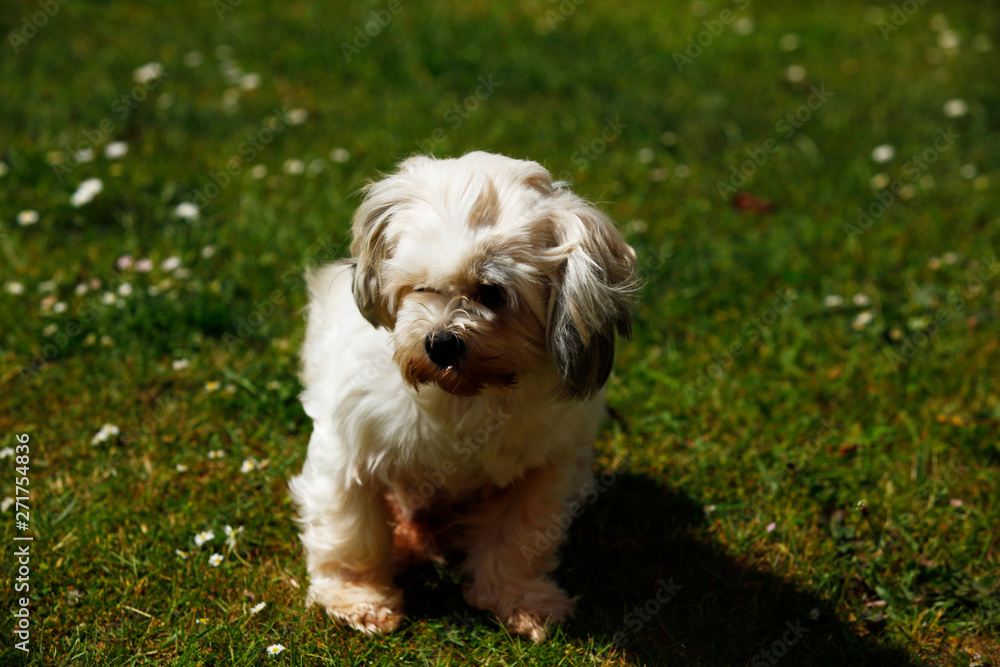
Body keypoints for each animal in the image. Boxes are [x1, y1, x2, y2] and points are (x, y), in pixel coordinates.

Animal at [290, 150, 636, 640]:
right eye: (422, 286)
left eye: (493, 293)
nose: (441, 342)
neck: (461, 395)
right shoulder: (347, 448)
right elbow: (350, 531)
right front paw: (358, 599)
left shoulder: (546, 468)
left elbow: (517, 539)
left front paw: (520, 600)